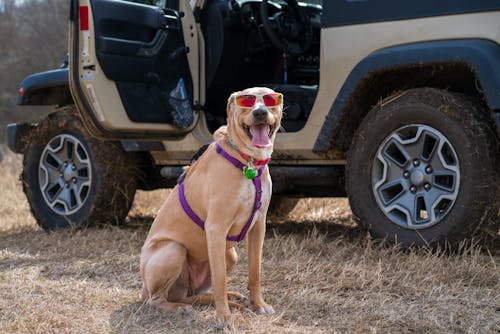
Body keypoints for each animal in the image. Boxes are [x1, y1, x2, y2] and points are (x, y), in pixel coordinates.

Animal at [139, 87, 284, 320]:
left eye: (271, 99)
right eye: (246, 101)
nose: (260, 113)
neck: (248, 163)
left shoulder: (258, 226)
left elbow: (255, 272)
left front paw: (259, 304)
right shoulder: (216, 227)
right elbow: (220, 281)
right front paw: (224, 316)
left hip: (230, 255)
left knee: (193, 294)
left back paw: (229, 298)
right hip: (173, 250)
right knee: (157, 299)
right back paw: (179, 308)